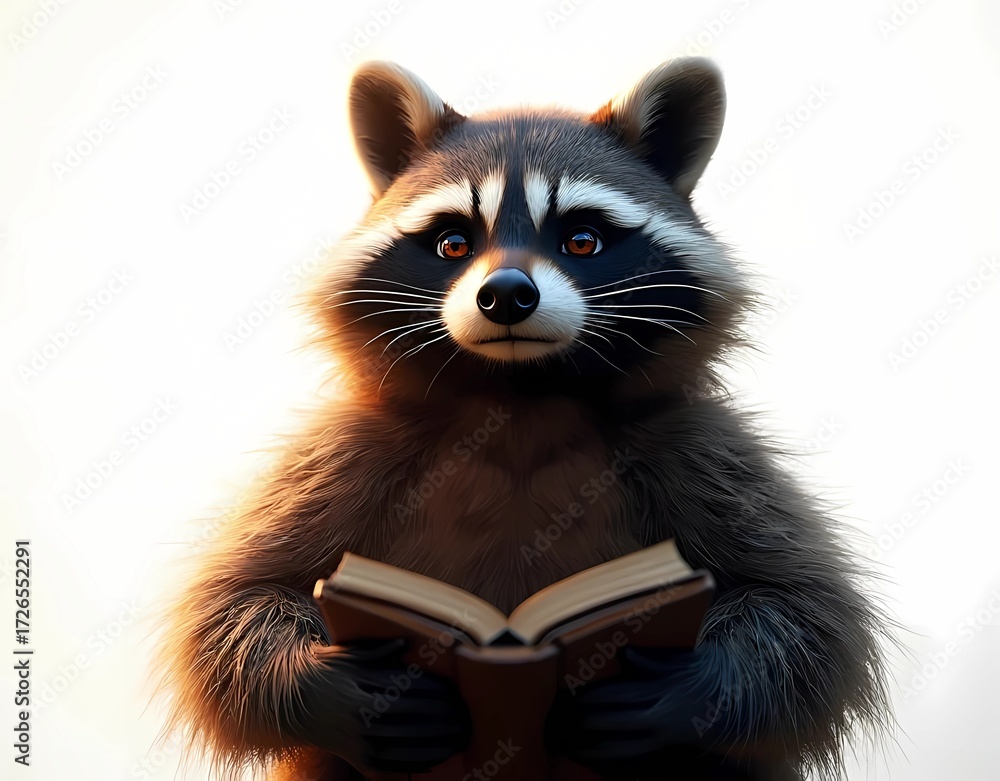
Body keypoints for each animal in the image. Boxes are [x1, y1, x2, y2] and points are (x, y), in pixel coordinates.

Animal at [155, 58, 892, 781]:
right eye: (453, 242)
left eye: (582, 239)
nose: (507, 293)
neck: (519, 398)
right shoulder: (350, 448)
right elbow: (235, 602)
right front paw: (337, 687)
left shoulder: (691, 443)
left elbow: (806, 611)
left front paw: (685, 690)